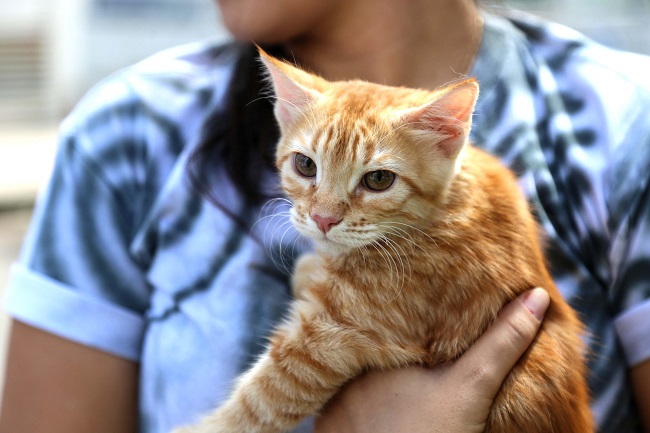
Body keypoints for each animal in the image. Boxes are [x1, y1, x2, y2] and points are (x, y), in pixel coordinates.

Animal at [173, 49, 592, 432]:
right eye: (305, 165)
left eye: (378, 180)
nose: (323, 219)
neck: (444, 210)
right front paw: (310, 268)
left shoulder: (336, 337)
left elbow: (261, 401)